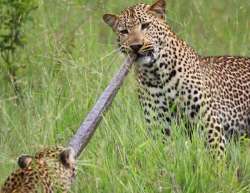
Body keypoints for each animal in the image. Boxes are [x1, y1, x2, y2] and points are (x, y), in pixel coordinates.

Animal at [103, 0, 250, 156]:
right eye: (124, 31)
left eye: (145, 25)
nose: (136, 46)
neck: (156, 74)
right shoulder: (160, 128)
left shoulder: (208, 122)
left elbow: (217, 156)